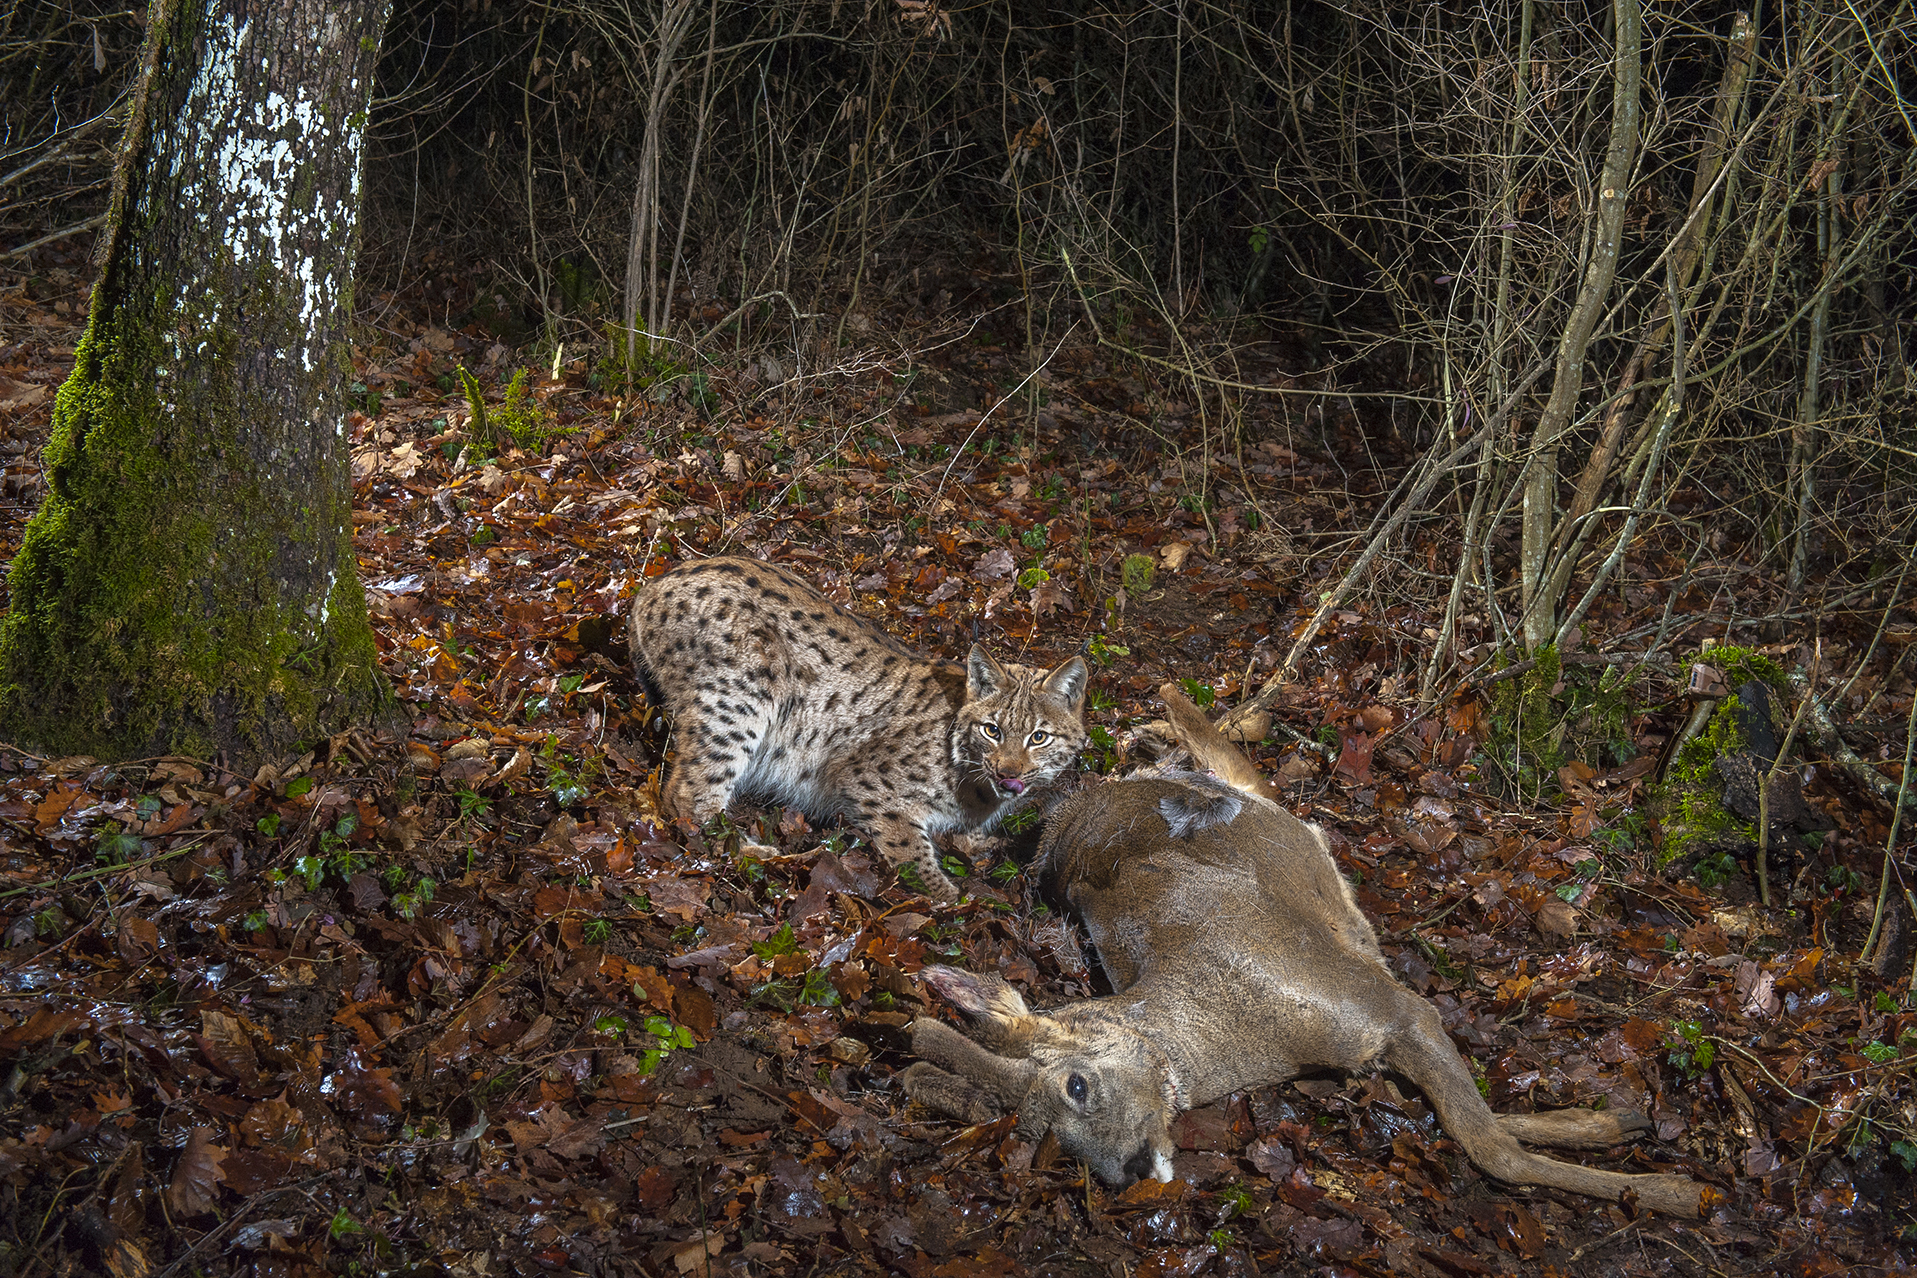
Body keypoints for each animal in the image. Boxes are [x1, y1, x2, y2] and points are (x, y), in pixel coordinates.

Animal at [901, 685, 1705, 1217]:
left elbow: (1488, 1145)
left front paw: (1671, 1190)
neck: (1256, 1036)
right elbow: (1468, 1121)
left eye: (1076, 1086)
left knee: (1222, 749)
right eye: (1049, 1141)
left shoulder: (1390, 1006)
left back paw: (1160, 714)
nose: (1127, 1171)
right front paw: (1614, 1126)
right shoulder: (1378, 1030)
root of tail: (1095, 797)